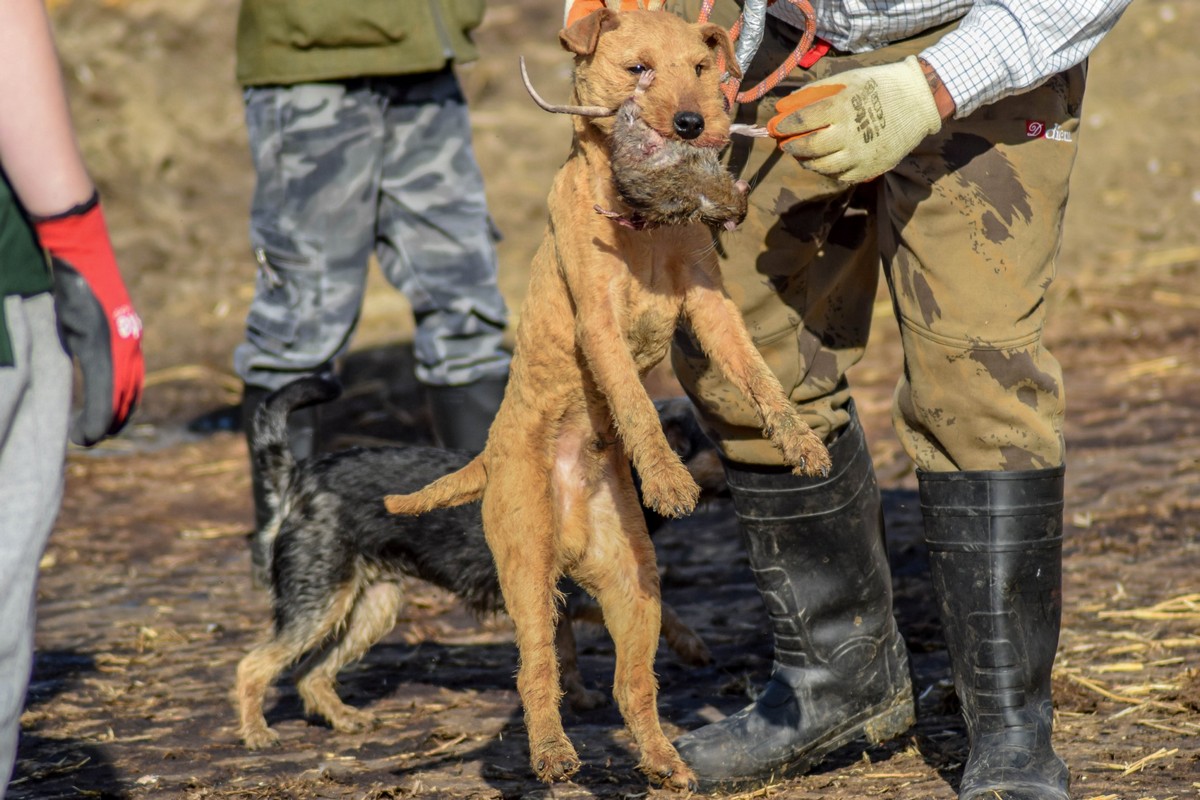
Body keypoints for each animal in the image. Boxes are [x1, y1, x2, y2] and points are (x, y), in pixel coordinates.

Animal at [236, 376, 710, 753]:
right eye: (708, 438)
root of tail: (298, 476)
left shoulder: (555, 601)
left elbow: (564, 652)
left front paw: (578, 696)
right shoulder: (577, 594)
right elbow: (664, 610)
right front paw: (692, 646)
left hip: (372, 607)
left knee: (309, 673)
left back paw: (346, 718)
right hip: (319, 600)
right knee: (254, 665)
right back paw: (256, 733)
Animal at [388, 7, 830, 796]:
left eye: (699, 66)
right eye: (637, 70)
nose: (693, 124)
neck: (642, 218)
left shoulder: (709, 305)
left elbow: (758, 376)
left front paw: (799, 440)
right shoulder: (598, 322)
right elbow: (634, 402)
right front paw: (668, 478)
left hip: (634, 584)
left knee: (633, 686)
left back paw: (664, 762)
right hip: (527, 571)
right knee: (536, 672)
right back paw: (552, 756)